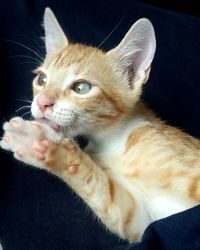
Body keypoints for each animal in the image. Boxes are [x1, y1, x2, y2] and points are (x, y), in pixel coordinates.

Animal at [0, 7, 199, 242]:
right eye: (42, 80)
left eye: (82, 88)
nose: (42, 102)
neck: (112, 142)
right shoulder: (142, 223)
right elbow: (104, 194)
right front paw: (38, 145)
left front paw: (37, 140)